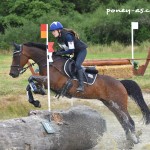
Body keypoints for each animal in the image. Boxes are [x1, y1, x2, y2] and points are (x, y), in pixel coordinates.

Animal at [9, 42, 150, 144]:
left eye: (16, 56)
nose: (12, 74)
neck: (49, 63)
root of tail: (120, 83)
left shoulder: (52, 82)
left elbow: (31, 78)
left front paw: (38, 93)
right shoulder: (45, 81)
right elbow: (29, 84)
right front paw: (35, 101)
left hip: (119, 104)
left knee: (130, 122)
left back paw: (135, 141)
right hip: (110, 104)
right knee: (123, 122)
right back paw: (128, 141)